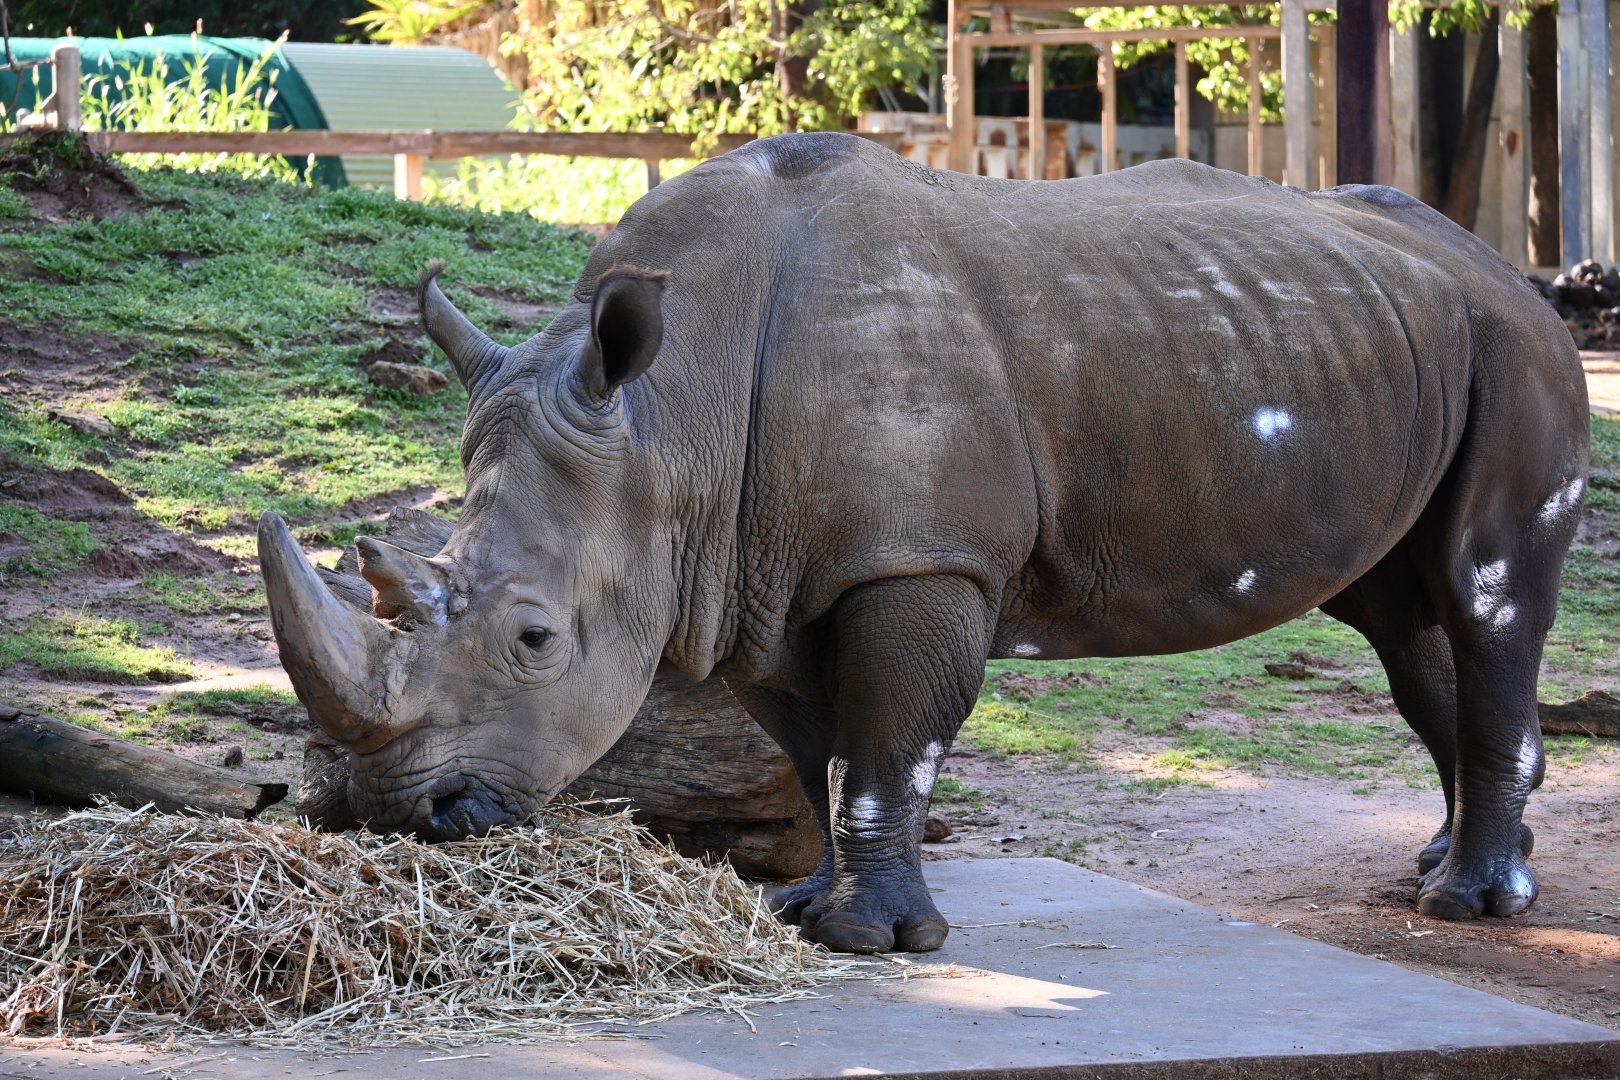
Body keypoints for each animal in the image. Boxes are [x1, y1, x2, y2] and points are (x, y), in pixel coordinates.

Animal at [260, 132, 1588, 954]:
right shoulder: (753, 576)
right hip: (1389, 344)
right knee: (1405, 621)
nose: (402, 815)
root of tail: (1502, 267)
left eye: (535, 638)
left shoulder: (915, 557)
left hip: (1516, 350)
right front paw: (801, 907)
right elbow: (818, 750)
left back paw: (1475, 904)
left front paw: (874, 941)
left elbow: (891, 741)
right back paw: (1444, 867)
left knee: (1486, 593)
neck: (670, 422)